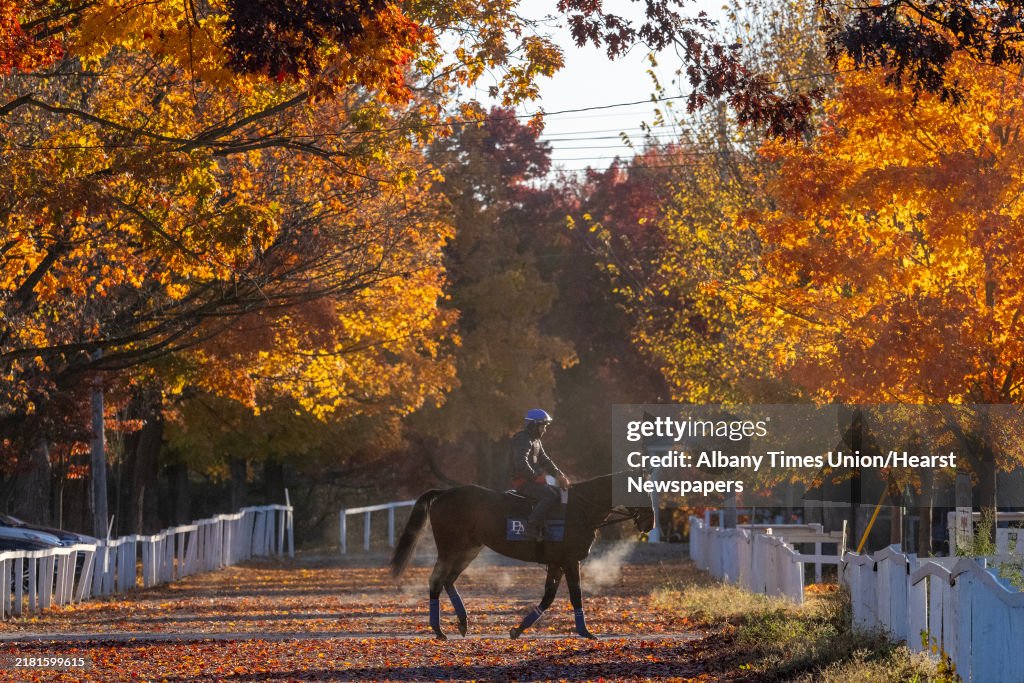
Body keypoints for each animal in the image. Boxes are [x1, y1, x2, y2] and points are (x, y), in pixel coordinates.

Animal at [389, 471, 655, 640]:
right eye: (641, 490)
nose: (649, 522)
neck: (580, 509)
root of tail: (444, 493)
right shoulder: (570, 561)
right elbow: (575, 596)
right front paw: (585, 632)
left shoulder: (556, 563)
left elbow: (548, 598)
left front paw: (518, 630)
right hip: (450, 549)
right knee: (436, 581)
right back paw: (438, 629)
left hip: (468, 550)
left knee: (448, 581)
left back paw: (463, 622)